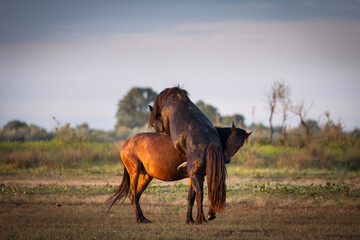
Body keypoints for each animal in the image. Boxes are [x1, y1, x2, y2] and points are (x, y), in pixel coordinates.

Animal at [107, 124, 250, 224]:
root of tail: (127, 143)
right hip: (134, 173)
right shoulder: (195, 176)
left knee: (136, 196)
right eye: (230, 138)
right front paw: (199, 219)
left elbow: (191, 197)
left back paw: (143, 218)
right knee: (132, 194)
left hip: (146, 176)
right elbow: (197, 196)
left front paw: (190, 220)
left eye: (240, 144)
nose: (226, 158)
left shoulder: (198, 177)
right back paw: (140, 219)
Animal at [147, 86, 226, 225]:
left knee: (200, 193)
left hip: (194, 174)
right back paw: (208, 215)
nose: (158, 132)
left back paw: (200, 219)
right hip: (206, 174)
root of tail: (211, 143)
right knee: (211, 190)